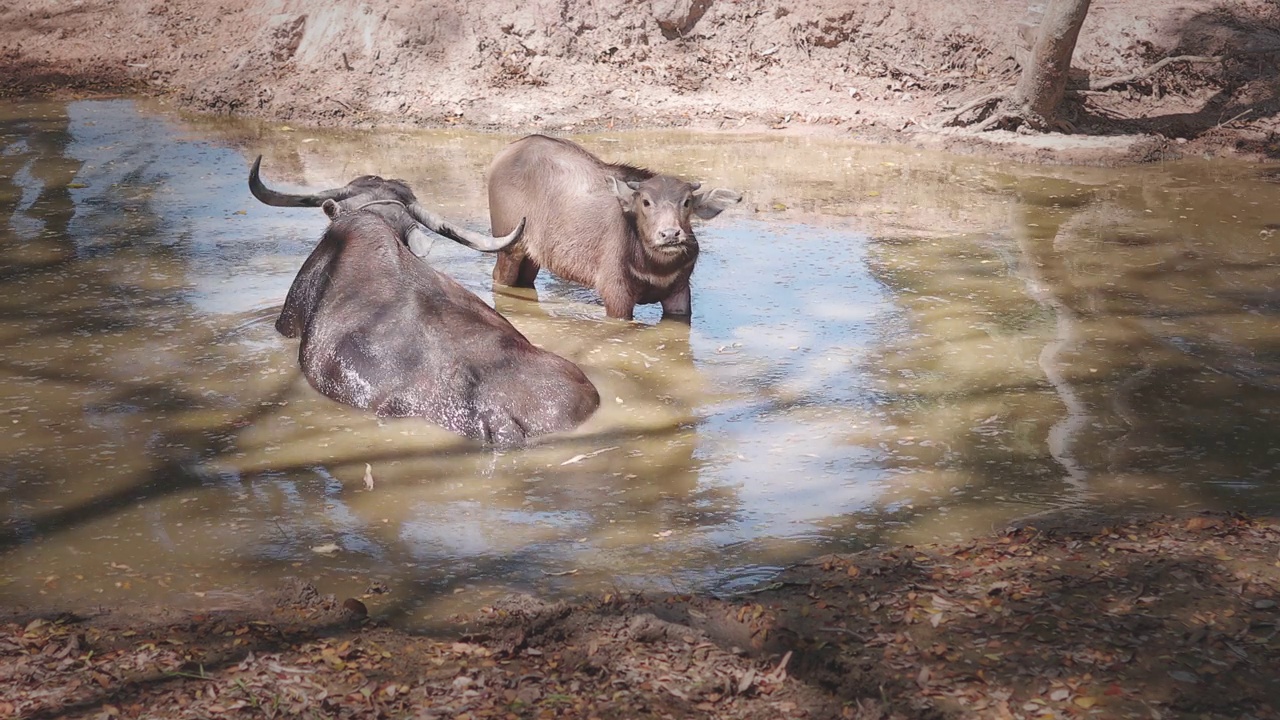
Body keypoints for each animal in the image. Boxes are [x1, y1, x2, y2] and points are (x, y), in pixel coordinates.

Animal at [483, 134, 742, 319]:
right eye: (645, 201)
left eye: (686, 202)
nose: (670, 234)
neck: (655, 266)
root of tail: (506, 152)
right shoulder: (616, 294)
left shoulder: (679, 292)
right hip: (508, 246)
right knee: (498, 276)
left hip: (532, 256)